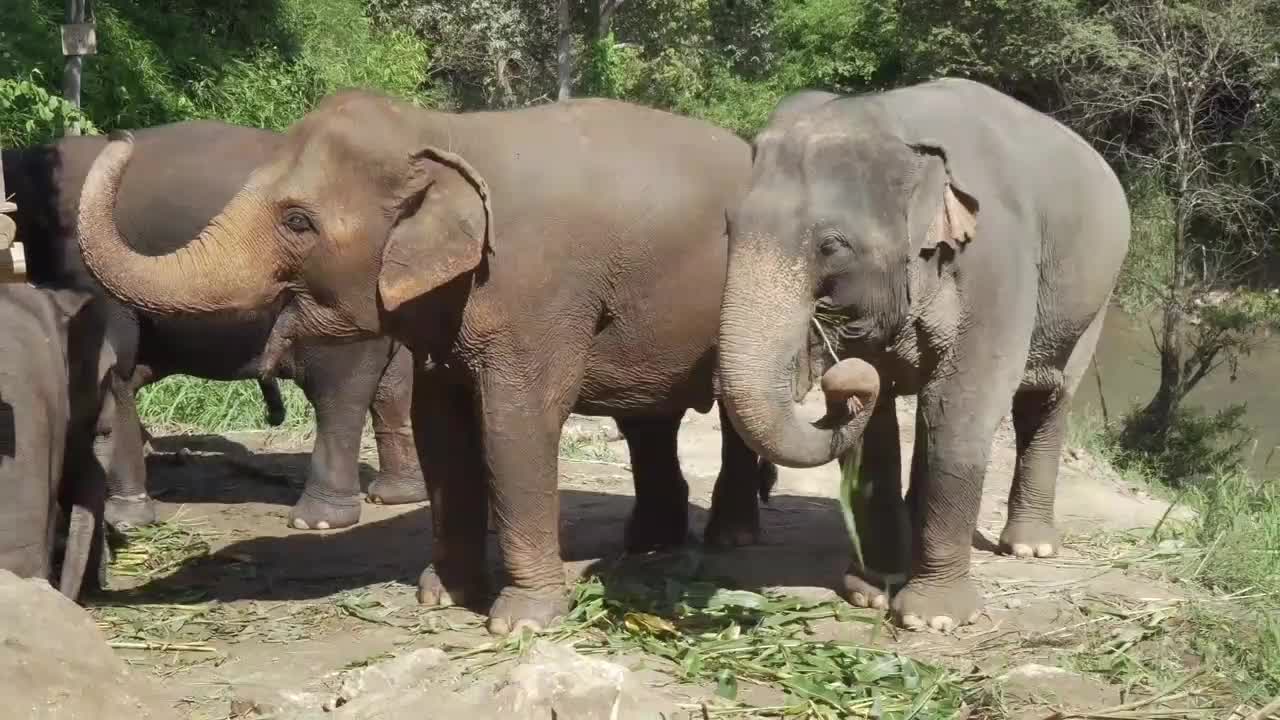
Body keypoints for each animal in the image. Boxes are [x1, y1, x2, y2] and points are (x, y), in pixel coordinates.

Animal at [5, 119, 424, 527]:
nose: (119, 135)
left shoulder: (85, 276)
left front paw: (125, 520)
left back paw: (316, 521)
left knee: (337, 396)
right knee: (393, 388)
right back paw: (396, 495)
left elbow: (114, 370)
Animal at [72, 89, 819, 632]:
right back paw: (649, 545)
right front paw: (441, 596)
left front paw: (520, 623)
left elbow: (515, 425)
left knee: (730, 410)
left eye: (298, 222)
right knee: (648, 421)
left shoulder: (537, 290)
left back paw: (729, 539)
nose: (121, 140)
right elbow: (441, 427)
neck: (444, 132)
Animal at [721, 78, 1131, 627]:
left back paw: (1030, 548)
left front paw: (933, 618)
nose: (836, 378)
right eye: (728, 227)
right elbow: (877, 427)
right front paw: (870, 592)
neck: (893, 117)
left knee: (1046, 399)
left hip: (1095, 299)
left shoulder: (997, 262)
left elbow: (958, 407)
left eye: (832, 246)